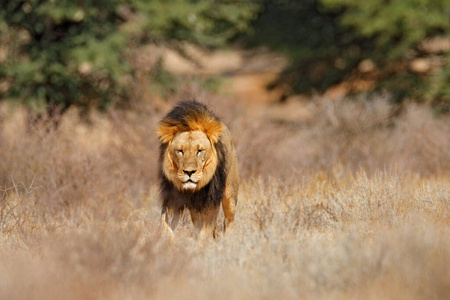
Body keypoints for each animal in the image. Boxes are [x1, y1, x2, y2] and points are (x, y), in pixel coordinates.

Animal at [156, 101, 239, 239]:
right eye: (180, 151)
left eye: (199, 151)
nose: (189, 172)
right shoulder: (172, 199)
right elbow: (165, 226)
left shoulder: (211, 200)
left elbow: (205, 233)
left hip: (229, 195)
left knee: (229, 220)